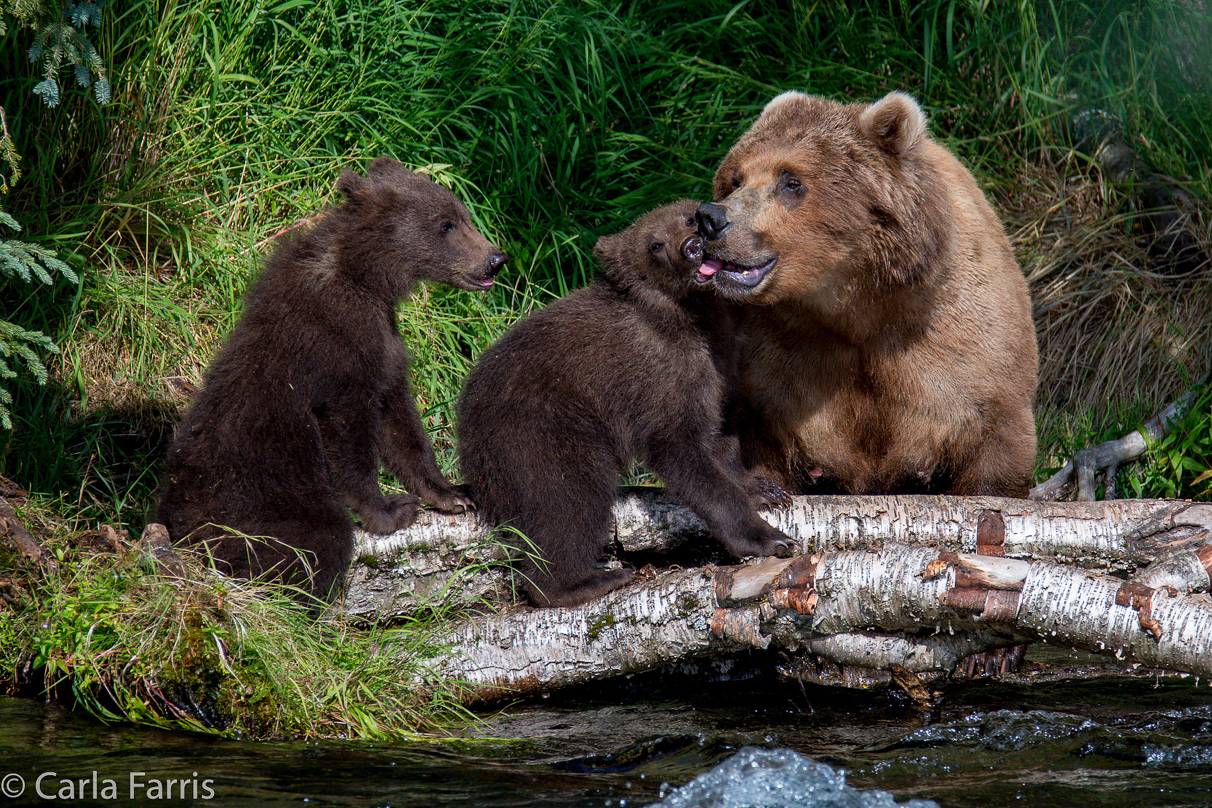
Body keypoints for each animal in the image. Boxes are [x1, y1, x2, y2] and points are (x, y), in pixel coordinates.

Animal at [157, 157, 506, 603]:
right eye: (445, 224)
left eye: (462, 215)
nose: (495, 259)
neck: (366, 279)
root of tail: (174, 521)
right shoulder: (337, 347)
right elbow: (350, 434)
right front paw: (390, 510)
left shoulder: (384, 343)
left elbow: (399, 422)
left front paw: (453, 494)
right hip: (258, 498)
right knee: (316, 539)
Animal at [698, 91, 1037, 496]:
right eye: (735, 178)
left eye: (791, 181)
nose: (710, 218)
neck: (858, 306)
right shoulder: (774, 357)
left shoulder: (962, 349)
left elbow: (992, 446)